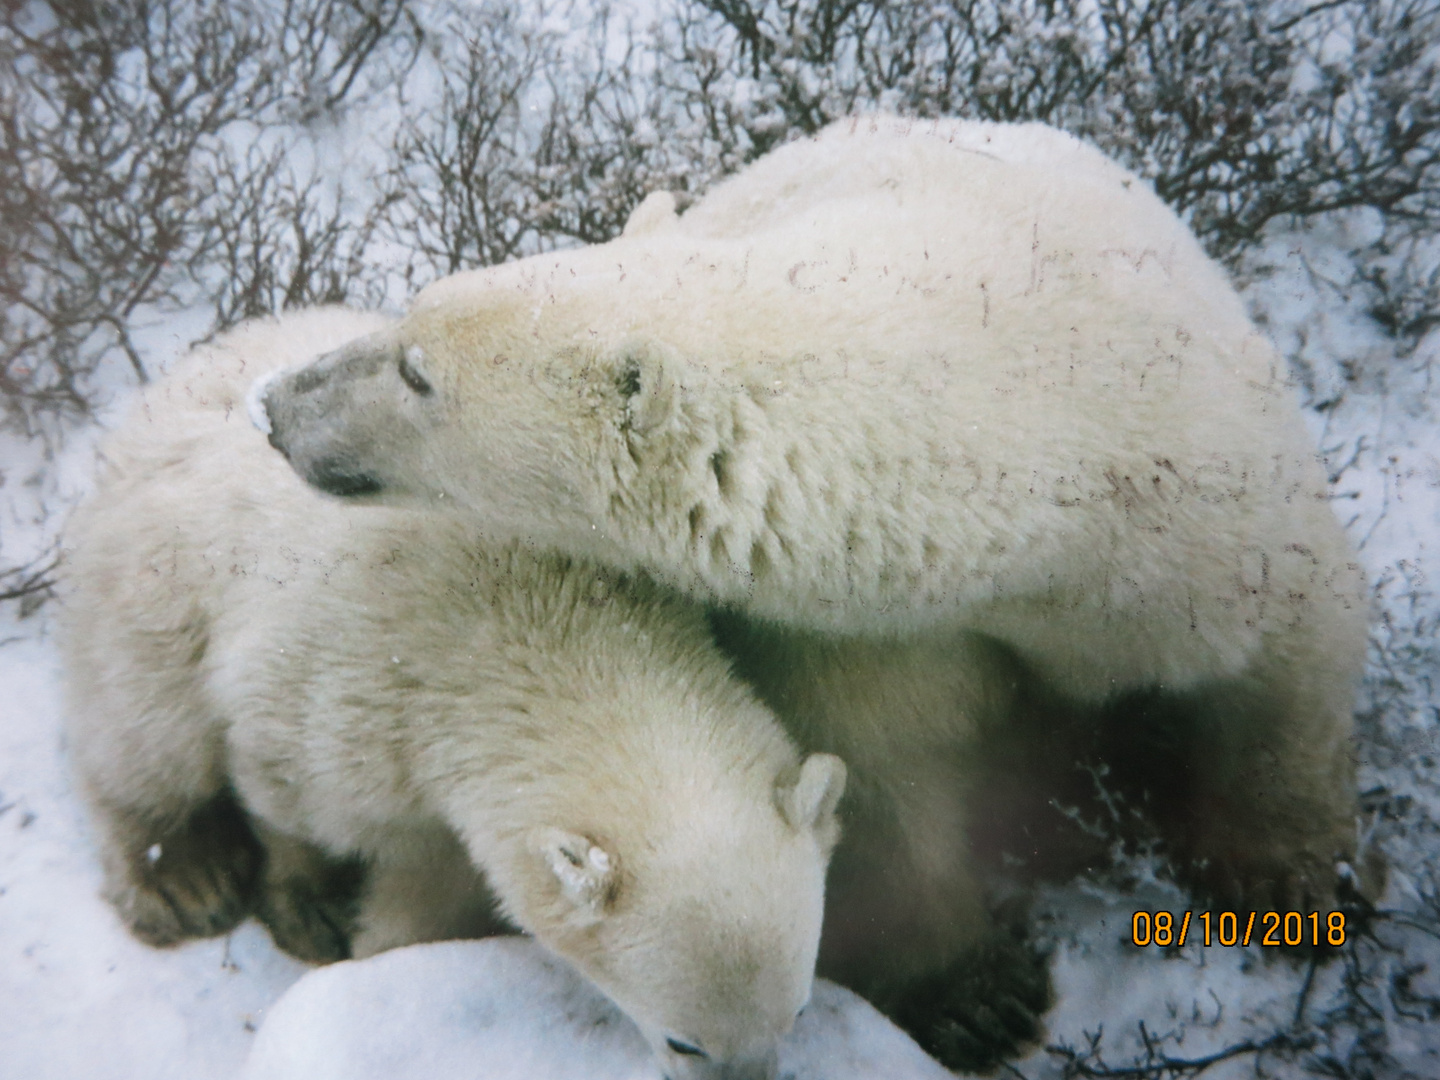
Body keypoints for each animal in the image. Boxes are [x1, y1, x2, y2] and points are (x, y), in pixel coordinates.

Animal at [259, 122, 1370, 1071]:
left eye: (416, 367)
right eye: (410, 318)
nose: (276, 403)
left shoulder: (1196, 490)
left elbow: (1286, 657)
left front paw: (1289, 886)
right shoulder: (880, 627)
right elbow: (883, 778)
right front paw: (980, 999)